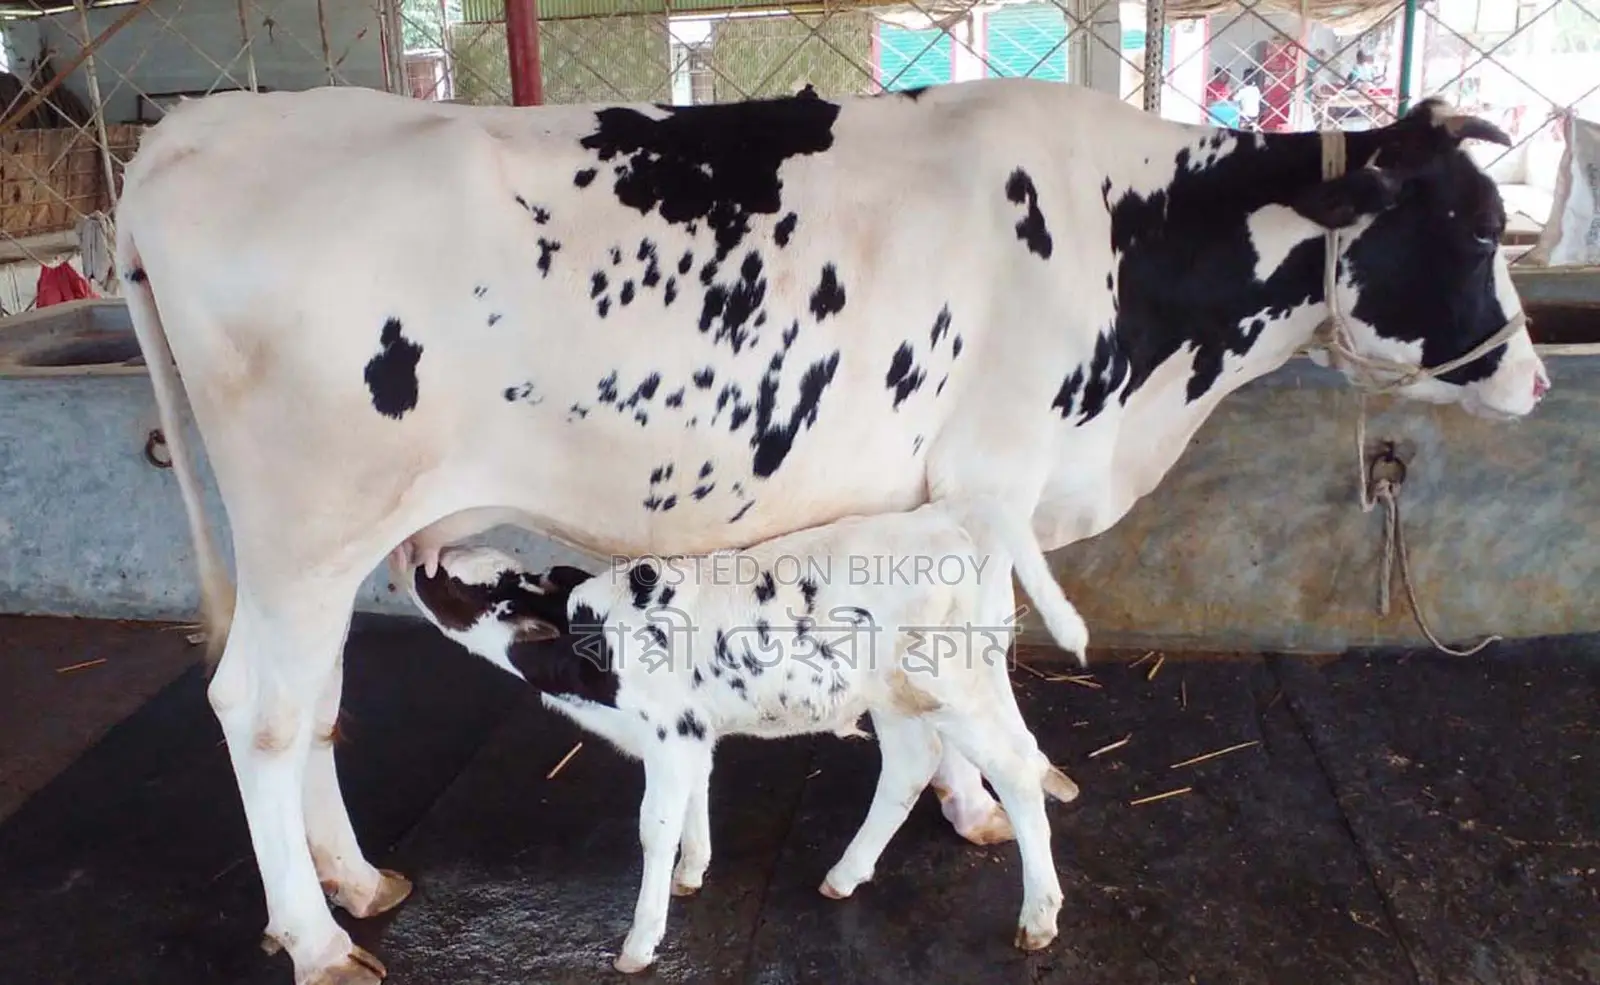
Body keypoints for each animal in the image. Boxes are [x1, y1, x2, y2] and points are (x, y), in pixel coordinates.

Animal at [398, 496, 1088, 973]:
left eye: (471, 585)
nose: (417, 559)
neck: (588, 644)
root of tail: (939, 518)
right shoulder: (691, 736)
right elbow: (695, 800)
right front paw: (693, 870)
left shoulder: (670, 735)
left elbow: (653, 828)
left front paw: (639, 942)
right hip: (904, 693)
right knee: (916, 765)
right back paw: (845, 874)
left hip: (947, 682)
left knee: (1013, 770)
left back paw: (1038, 917)